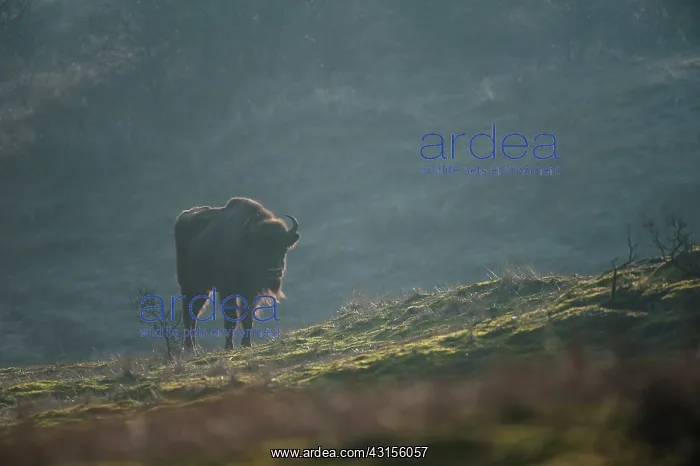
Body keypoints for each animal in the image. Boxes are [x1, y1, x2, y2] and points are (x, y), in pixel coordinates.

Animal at [174, 197, 300, 351]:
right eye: (261, 247)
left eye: (283, 247)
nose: (274, 272)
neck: (246, 243)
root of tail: (183, 217)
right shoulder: (227, 291)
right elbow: (231, 318)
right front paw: (229, 346)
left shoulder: (251, 292)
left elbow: (248, 317)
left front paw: (246, 343)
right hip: (189, 286)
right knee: (188, 314)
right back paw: (190, 348)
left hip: (202, 289)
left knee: (194, 314)